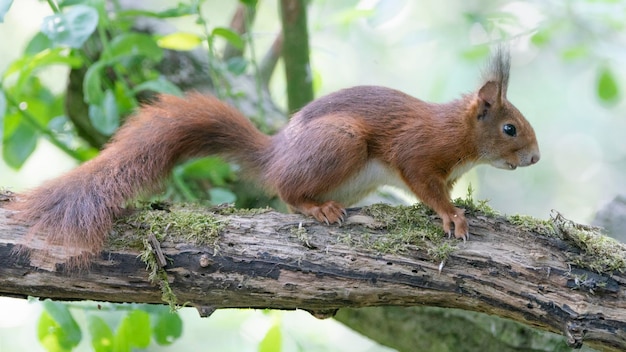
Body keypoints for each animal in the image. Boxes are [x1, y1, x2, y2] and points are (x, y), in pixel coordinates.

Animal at [8, 47, 536, 266]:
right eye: (509, 128)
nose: (533, 158)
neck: (459, 134)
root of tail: (276, 153)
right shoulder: (419, 151)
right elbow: (425, 184)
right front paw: (452, 215)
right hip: (341, 142)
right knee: (287, 192)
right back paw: (317, 208)